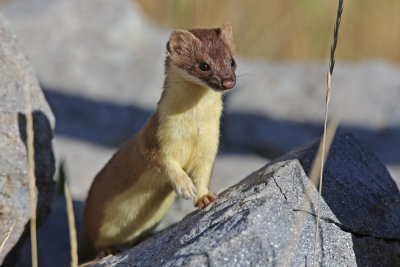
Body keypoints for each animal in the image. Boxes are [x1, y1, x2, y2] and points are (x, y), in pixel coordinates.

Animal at [82, 22, 236, 258]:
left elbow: (203, 173)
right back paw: (108, 250)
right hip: (95, 221)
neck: (194, 129)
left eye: (232, 60)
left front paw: (204, 197)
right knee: (99, 242)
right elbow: (164, 161)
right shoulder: (157, 136)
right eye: (204, 65)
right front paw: (184, 186)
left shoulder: (209, 144)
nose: (228, 82)